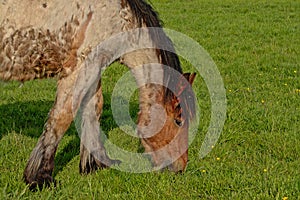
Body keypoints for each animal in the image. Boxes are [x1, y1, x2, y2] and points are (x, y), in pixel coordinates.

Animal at [0, 0, 197, 189]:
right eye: (178, 121)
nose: (181, 167)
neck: (119, 17)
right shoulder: (79, 69)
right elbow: (61, 118)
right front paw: (40, 177)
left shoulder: (95, 68)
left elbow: (94, 109)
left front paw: (95, 163)